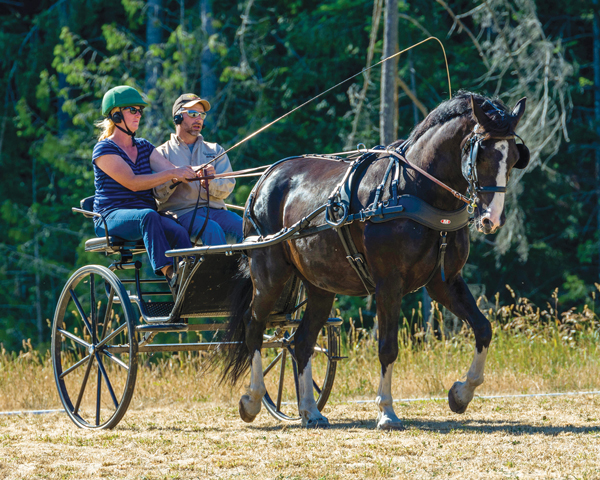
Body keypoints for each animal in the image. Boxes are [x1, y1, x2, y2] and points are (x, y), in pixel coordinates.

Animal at [223, 92, 528, 430]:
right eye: (481, 154)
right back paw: (252, 400)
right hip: (269, 274)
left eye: (514, 157)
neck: (414, 190)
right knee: (254, 327)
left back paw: (309, 411)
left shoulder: (444, 283)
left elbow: (483, 328)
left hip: (320, 286)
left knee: (301, 342)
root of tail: (264, 179)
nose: (492, 219)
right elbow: (388, 347)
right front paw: (386, 411)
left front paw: (461, 394)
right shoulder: (388, 283)